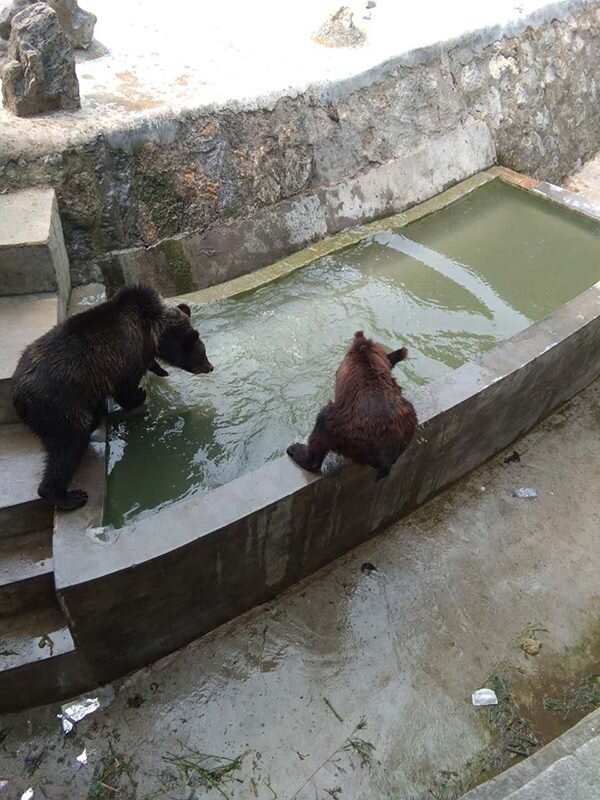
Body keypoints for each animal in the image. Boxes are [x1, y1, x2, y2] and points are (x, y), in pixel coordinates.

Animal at [11, 284, 213, 511]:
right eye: (202, 352)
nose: (210, 367)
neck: (152, 332)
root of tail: (17, 393)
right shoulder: (124, 357)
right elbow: (125, 387)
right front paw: (140, 394)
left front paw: (160, 370)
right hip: (57, 404)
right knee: (67, 445)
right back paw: (69, 496)